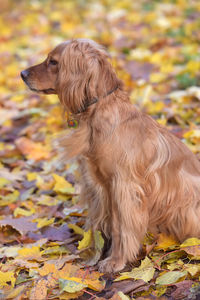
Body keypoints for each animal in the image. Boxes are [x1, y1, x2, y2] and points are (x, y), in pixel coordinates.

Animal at [20, 38, 200, 274]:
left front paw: (116, 260)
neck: (100, 111)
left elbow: (121, 227)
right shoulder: (101, 185)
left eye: (53, 62)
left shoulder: (124, 186)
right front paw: (95, 252)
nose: (22, 73)